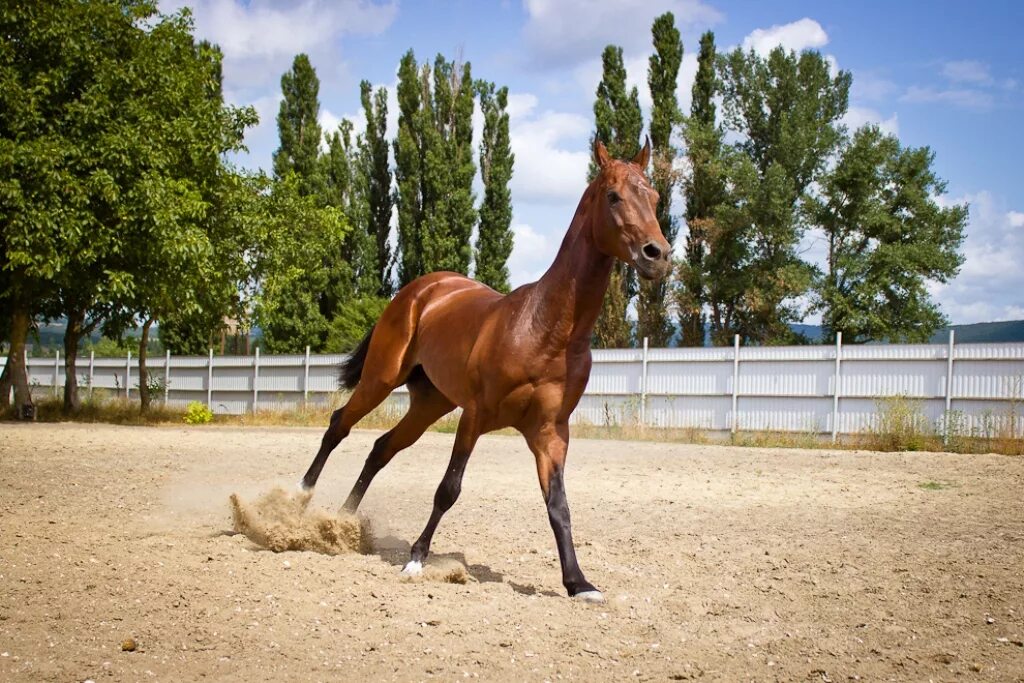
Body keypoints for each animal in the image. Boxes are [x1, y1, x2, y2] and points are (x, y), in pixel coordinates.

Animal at [299, 140, 671, 602]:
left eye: (654, 197)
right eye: (614, 196)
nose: (658, 255)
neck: (545, 329)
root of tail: (420, 291)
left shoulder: (551, 433)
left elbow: (559, 507)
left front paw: (578, 583)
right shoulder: (474, 416)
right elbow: (448, 489)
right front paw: (416, 559)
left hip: (430, 404)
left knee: (381, 448)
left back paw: (343, 522)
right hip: (381, 380)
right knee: (339, 426)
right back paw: (299, 499)